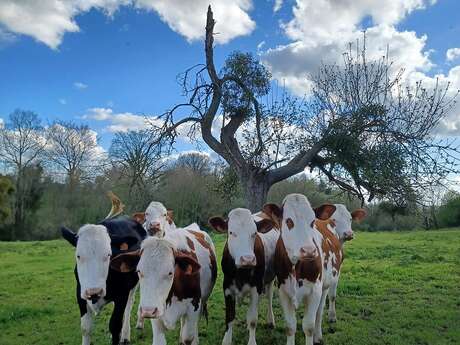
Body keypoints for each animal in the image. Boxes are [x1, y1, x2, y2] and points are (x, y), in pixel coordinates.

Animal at [61, 194, 146, 344]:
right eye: (78, 255)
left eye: (108, 254)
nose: (94, 291)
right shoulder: (80, 294)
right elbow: (86, 328)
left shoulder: (122, 295)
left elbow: (115, 325)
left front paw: (118, 335)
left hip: (134, 284)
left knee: (129, 306)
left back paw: (125, 335)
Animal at [208, 207, 276, 344]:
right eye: (231, 232)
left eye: (254, 233)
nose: (247, 259)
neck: (241, 273)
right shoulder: (227, 287)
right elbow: (229, 317)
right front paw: (226, 341)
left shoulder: (256, 287)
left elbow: (253, 319)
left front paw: (252, 341)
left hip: (270, 279)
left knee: (269, 296)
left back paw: (270, 320)